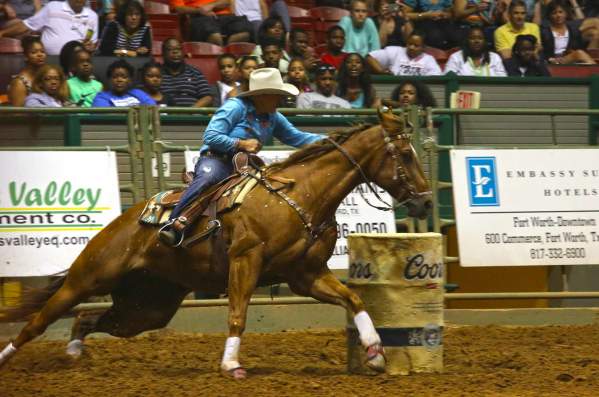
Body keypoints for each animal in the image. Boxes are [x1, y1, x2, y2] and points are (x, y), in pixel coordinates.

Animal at [0, 107, 434, 378]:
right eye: (405, 154)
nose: (427, 201)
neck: (300, 194)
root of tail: (122, 222)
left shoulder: (305, 275)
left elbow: (354, 299)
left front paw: (375, 352)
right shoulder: (246, 260)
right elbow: (237, 313)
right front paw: (231, 365)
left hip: (148, 306)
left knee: (88, 319)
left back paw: (74, 351)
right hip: (89, 278)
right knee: (39, 321)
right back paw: (10, 357)